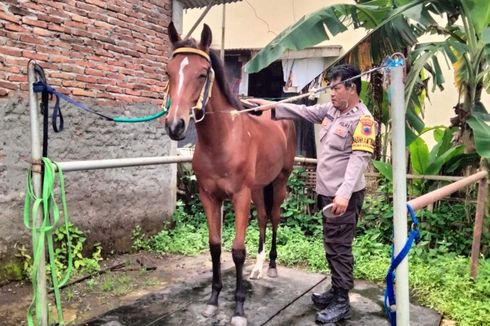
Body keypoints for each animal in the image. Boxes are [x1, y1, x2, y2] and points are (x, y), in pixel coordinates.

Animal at [164, 21, 294, 324]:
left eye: (202, 74)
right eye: (168, 72)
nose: (175, 126)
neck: (222, 141)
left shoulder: (239, 196)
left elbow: (237, 251)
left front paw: (239, 308)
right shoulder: (209, 196)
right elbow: (215, 246)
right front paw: (213, 300)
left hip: (280, 181)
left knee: (274, 217)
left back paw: (271, 265)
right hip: (259, 187)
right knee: (263, 218)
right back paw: (257, 268)